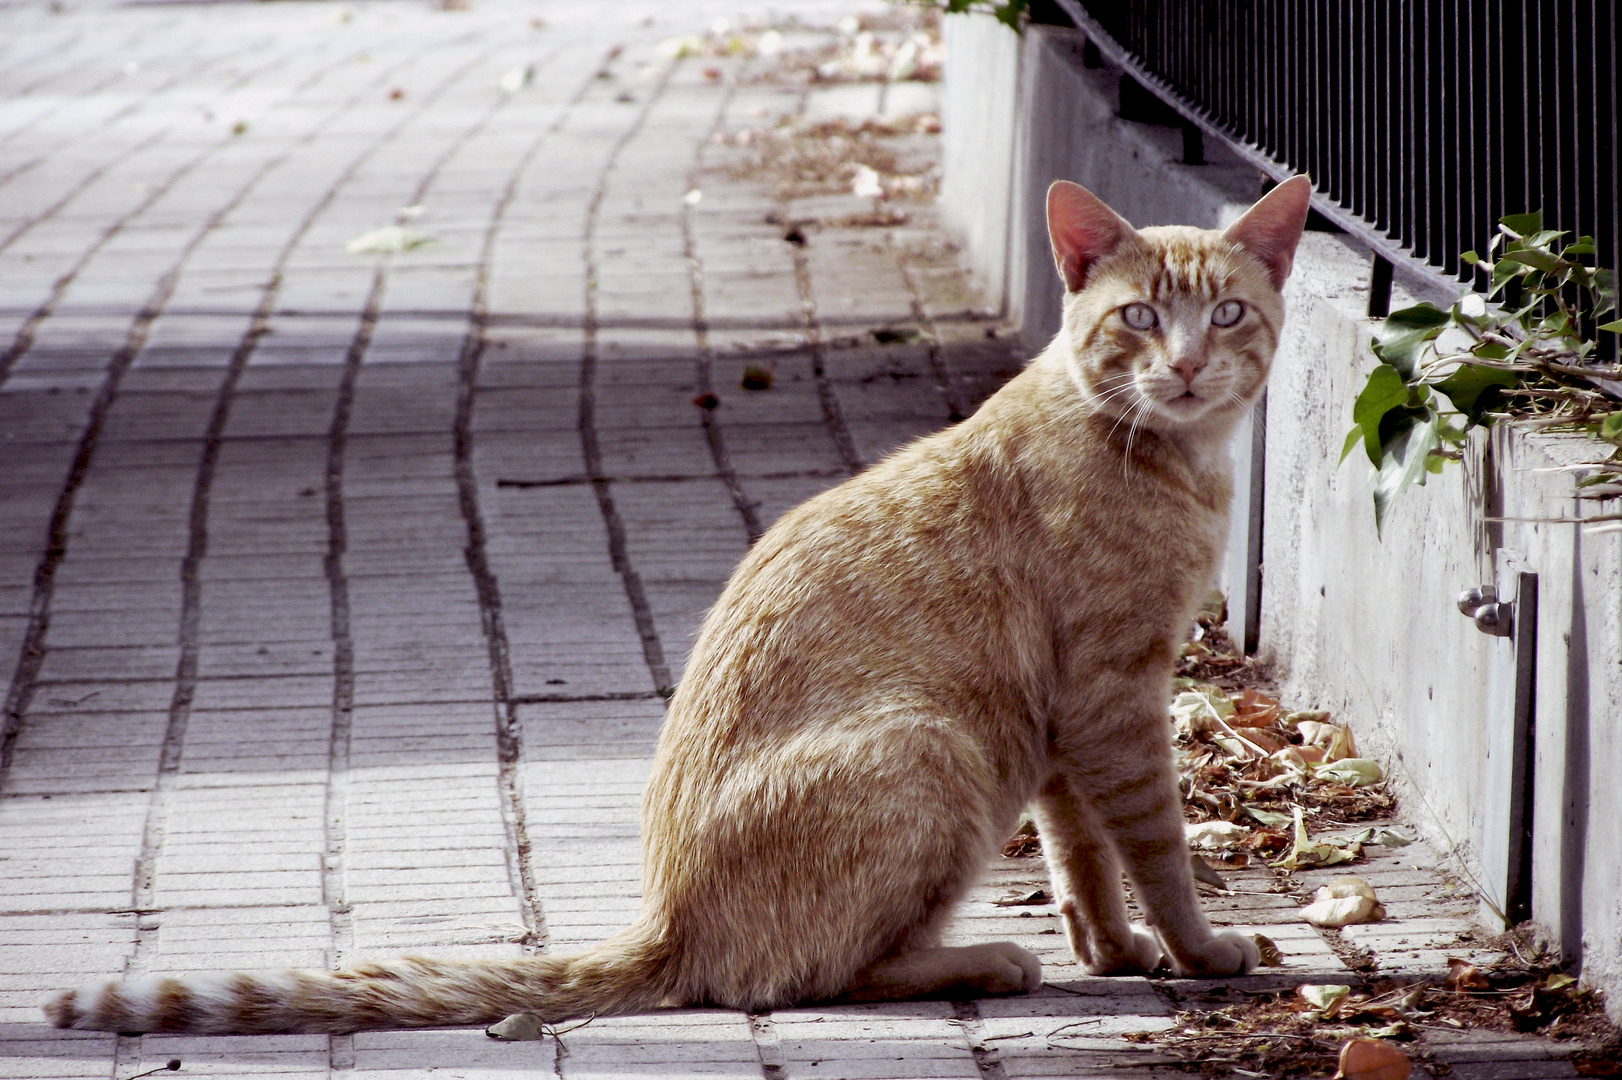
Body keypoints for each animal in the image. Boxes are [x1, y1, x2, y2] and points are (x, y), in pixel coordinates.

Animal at [47, 172, 1317, 1031]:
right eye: (1138, 317)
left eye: (1225, 314)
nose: (1186, 366)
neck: (1158, 454)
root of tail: (669, 922)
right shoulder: (1112, 697)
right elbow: (1152, 842)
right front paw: (1195, 948)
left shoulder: (1062, 722)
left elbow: (1080, 857)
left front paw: (1115, 950)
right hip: (933, 750)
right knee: (802, 975)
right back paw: (974, 963)